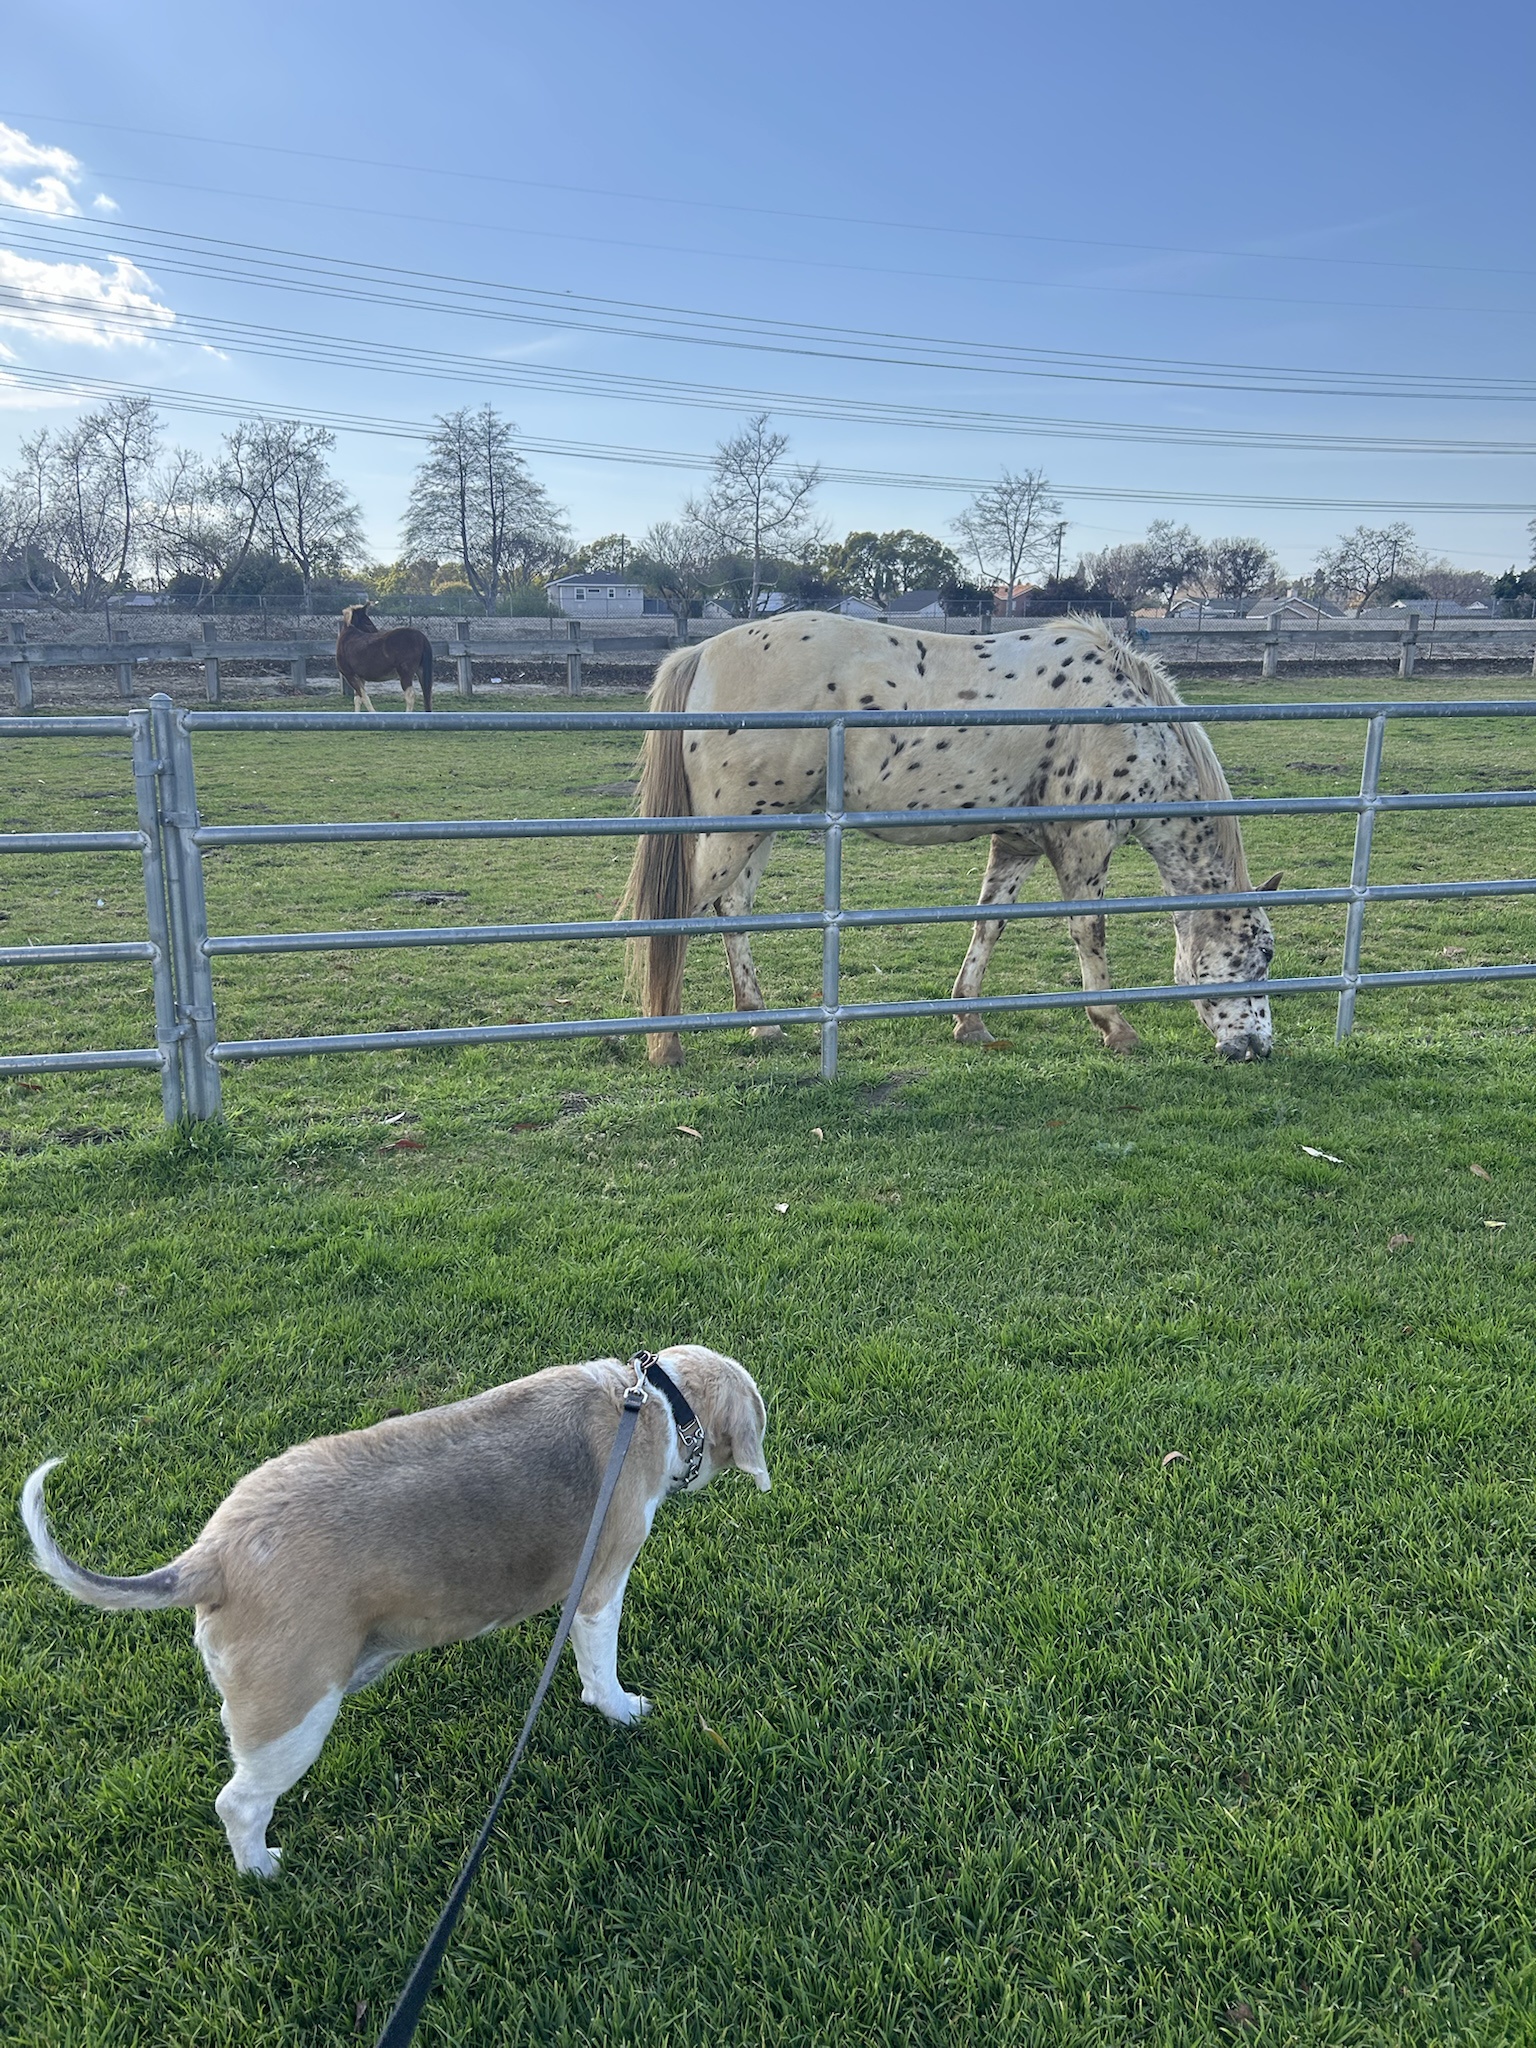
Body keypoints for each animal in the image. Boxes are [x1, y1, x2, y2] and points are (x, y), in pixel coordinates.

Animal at [20, 1351, 770, 1875]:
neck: (654, 1403)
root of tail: (214, 1555)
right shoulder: (599, 1586)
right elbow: (600, 1670)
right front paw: (621, 1709)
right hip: (292, 1715)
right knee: (239, 1803)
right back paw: (260, 1869)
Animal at [618, 610, 1277, 1064]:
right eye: (1260, 955)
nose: (1258, 1047)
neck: (1126, 717)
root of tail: (703, 652)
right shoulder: (1084, 843)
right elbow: (1089, 932)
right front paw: (1114, 1026)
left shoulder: (1016, 844)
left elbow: (989, 924)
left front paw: (970, 1021)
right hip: (734, 831)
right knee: (678, 917)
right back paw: (667, 1043)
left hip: (757, 828)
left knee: (734, 910)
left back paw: (760, 1021)